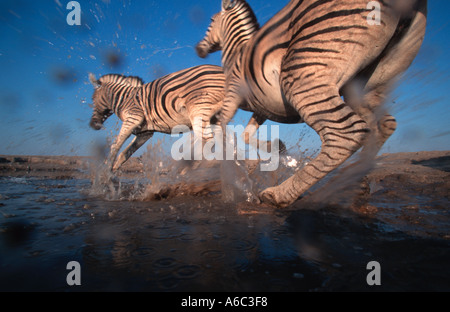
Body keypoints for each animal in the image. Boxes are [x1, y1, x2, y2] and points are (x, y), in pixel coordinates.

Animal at [89, 64, 229, 172]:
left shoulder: (133, 118)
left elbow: (115, 145)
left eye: (92, 99)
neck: (124, 98)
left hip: (198, 110)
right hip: (215, 117)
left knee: (208, 141)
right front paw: (112, 171)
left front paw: (104, 172)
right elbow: (126, 153)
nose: (92, 125)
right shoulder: (144, 132)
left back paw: (187, 170)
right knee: (218, 142)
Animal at [195, 1, 428, 208]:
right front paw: (271, 148)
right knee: (382, 125)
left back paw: (281, 194)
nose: (198, 49)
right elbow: (244, 135)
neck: (237, 52)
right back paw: (353, 181)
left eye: (211, 20)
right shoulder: (261, 109)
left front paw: (229, 189)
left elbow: (223, 132)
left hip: (303, 74)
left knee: (347, 133)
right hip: (366, 85)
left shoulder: (233, 95)